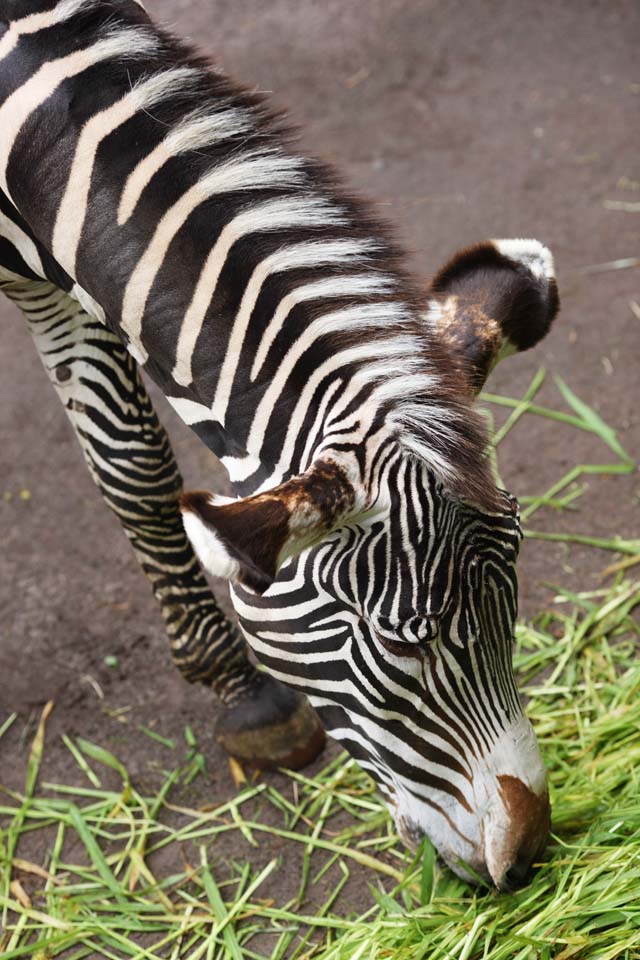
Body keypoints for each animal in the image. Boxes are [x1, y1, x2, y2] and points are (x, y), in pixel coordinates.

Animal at [0, 0, 556, 892]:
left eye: (514, 602)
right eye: (406, 644)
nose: (529, 853)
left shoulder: (59, 269)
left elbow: (129, 463)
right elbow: (131, 457)